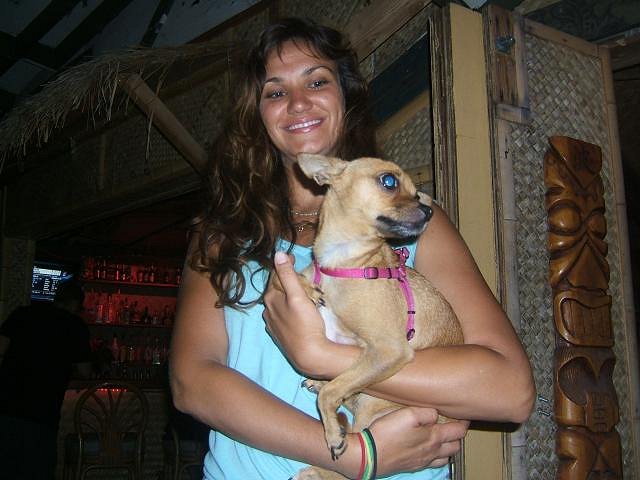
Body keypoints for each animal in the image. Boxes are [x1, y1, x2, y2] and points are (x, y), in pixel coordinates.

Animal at [283, 154, 463, 480]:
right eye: (389, 181)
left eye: (417, 193)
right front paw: (308, 290)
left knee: (354, 439)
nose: (430, 210)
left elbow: (332, 394)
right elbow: (282, 277)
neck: (343, 261)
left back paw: (319, 466)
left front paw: (332, 432)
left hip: (373, 406)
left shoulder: (388, 351)